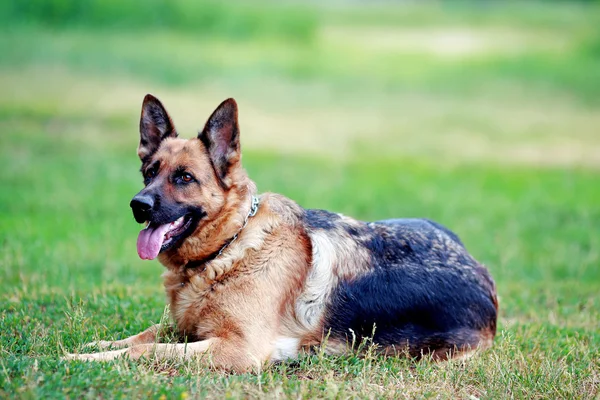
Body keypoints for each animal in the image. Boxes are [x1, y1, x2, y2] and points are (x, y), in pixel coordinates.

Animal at [64, 95, 496, 370]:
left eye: (184, 178)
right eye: (150, 172)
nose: (138, 205)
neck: (230, 247)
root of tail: (479, 268)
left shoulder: (238, 349)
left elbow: (147, 351)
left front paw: (81, 359)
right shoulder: (184, 327)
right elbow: (145, 335)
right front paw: (95, 344)